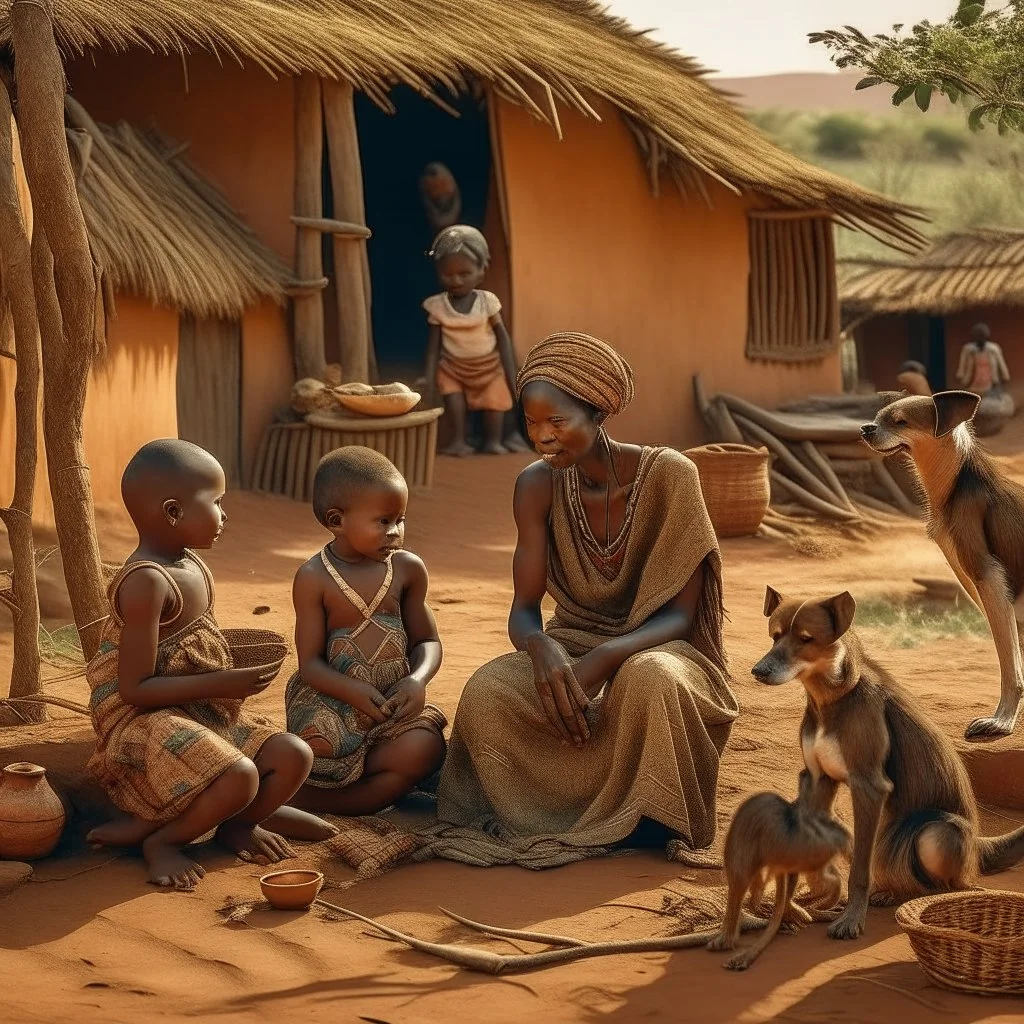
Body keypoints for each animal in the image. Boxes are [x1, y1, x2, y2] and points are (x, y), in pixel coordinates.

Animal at [749, 589, 1024, 937]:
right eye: (775, 635)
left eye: (806, 638)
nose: (759, 670)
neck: (832, 699)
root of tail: (978, 845)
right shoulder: (818, 779)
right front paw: (790, 909)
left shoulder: (869, 787)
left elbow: (859, 871)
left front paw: (851, 920)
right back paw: (890, 893)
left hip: (936, 833)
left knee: (950, 885)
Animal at [864, 389, 1024, 737]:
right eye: (879, 417)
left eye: (900, 422)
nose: (865, 428)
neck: (955, 485)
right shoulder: (980, 586)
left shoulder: (989, 578)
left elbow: (1010, 665)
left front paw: (1001, 720)